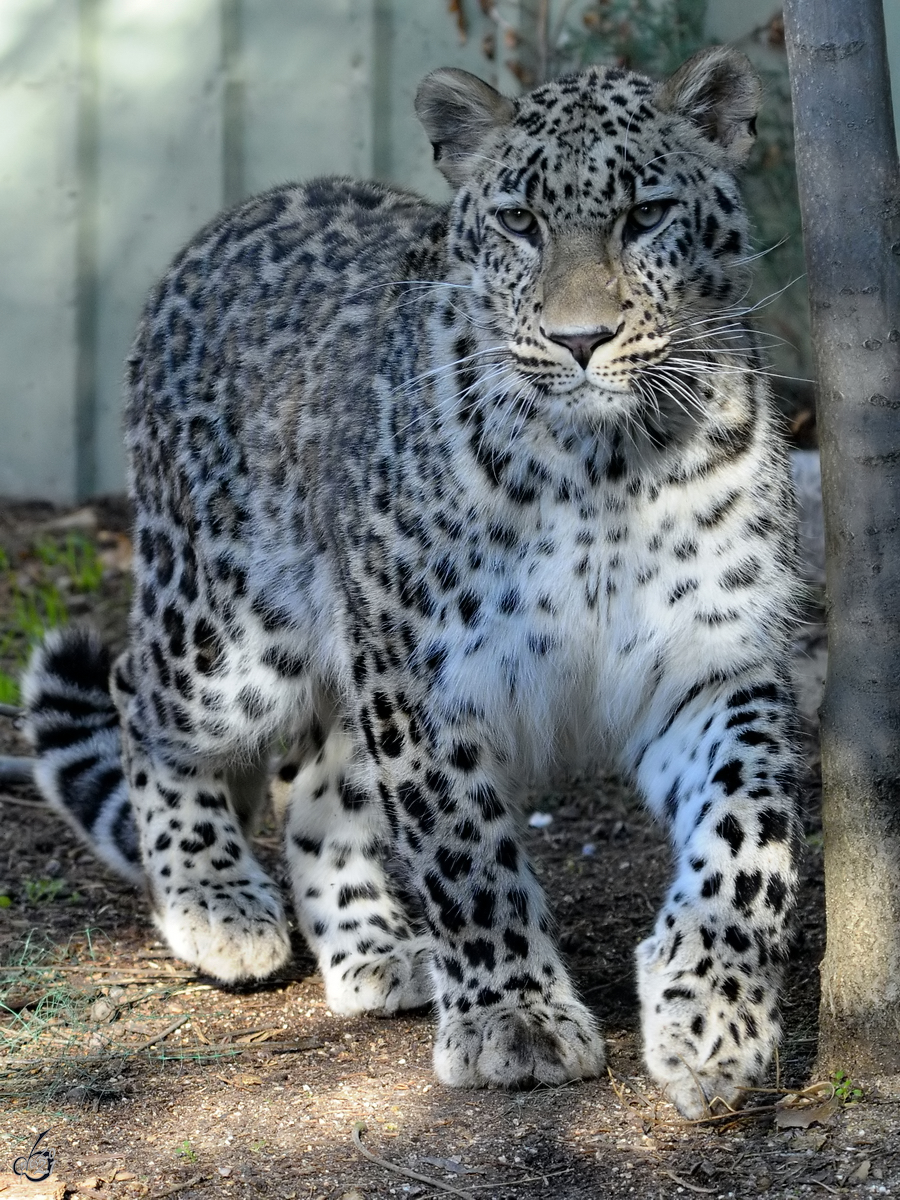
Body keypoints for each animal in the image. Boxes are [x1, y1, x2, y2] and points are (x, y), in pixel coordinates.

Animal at [21, 44, 801, 1113]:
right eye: (519, 222)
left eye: (646, 214)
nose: (581, 341)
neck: (609, 465)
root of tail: (219, 225)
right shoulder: (422, 675)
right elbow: (461, 847)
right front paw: (514, 1018)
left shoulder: (710, 660)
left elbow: (748, 830)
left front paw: (715, 1015)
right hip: (233, 631)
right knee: (139, 690)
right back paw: (217, 904)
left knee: (314, 785)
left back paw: (374, 946)